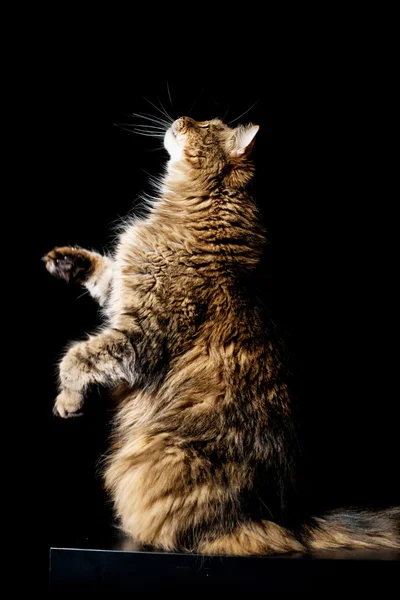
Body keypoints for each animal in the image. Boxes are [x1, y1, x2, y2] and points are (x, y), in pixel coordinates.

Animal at [42, 115, 398, 556]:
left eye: (207, 126)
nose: (182, 118)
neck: (195, 209)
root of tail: (282, 517)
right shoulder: (120, 289)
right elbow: (100, 269)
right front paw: (63, 261)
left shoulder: (142, 333)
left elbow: (76, 356)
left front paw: (67, 401)